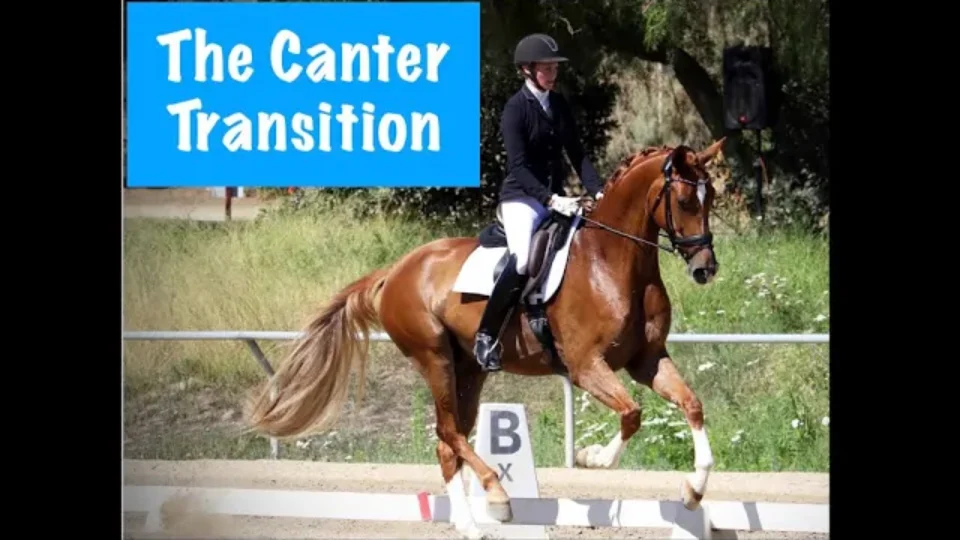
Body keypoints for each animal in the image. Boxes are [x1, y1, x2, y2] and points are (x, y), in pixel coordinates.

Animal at [245, 137, 727, 539]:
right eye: (685, 200)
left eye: (712, 200)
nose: (705, 268)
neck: (611, 262)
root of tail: (397, 268)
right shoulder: (586, 366)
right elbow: (632, 414)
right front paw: (592, 458)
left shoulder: (646, 360)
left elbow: (692, 405)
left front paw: (692, 491)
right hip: (433, 357)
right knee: (448, 431)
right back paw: (497, 497)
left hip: (469, 369)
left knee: (448, 441)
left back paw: (471, 525)